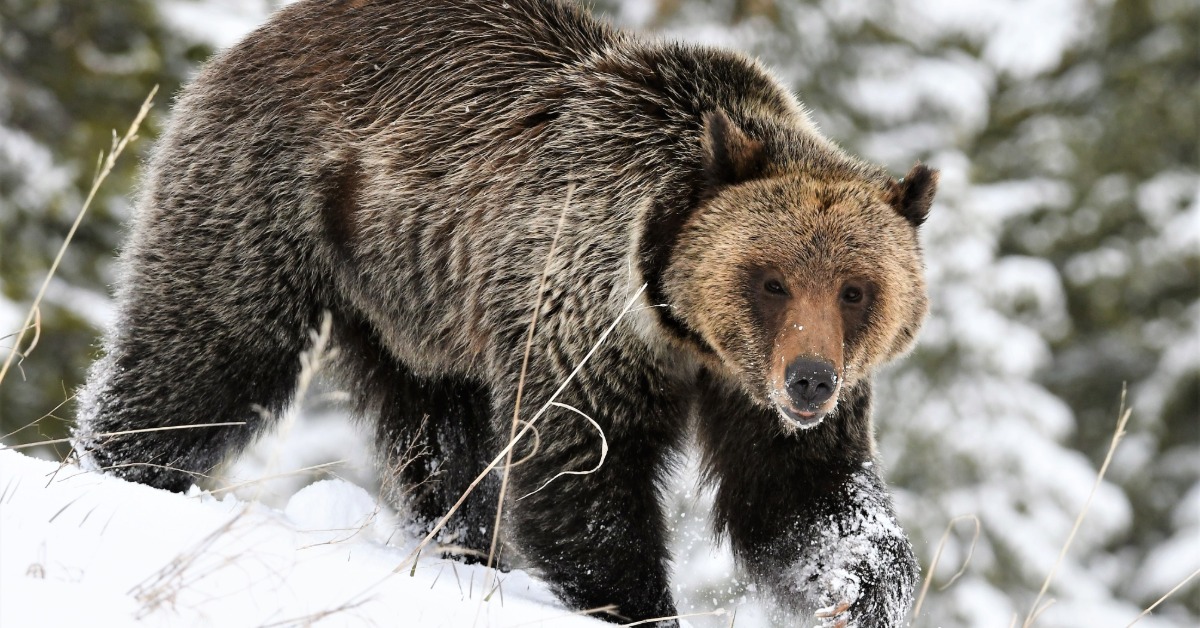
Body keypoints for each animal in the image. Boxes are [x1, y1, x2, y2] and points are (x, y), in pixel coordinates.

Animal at [73, 0, 937, 625]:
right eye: (771, 280)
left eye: (856, 288)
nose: (810, 380)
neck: (679, 325)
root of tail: (263, 31)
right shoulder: (582, 312)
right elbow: (582, 474)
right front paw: (640, 603)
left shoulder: (758, 393)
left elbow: (803, 498)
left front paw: (855, 591)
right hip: (270, 203)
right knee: (206, 353)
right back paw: (119, 466)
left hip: (413, 310)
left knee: (439, 441)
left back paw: (459, 548)